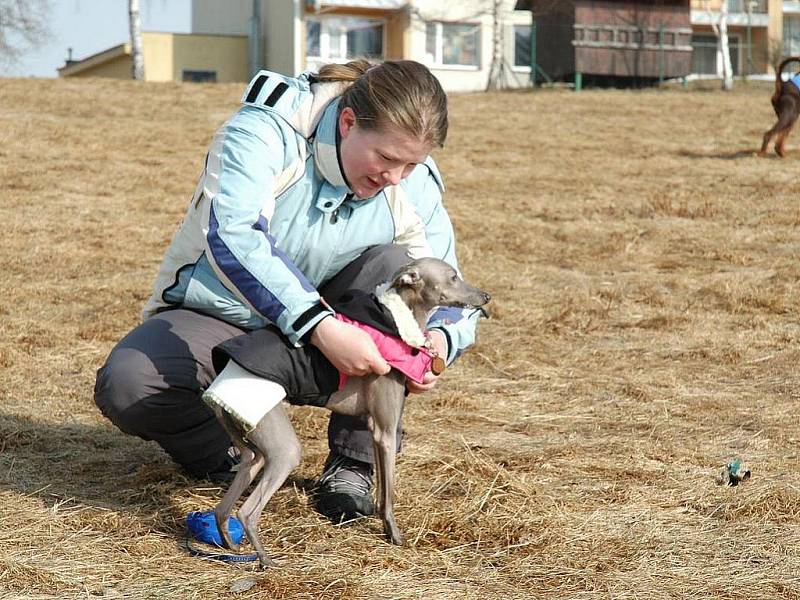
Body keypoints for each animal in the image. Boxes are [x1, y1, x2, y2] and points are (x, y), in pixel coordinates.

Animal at [202, 256, 488, 568]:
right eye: (453, 277)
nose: (486, 296)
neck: (396, 321)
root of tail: (216, 394)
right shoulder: (386, 432)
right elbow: (389, 495)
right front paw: (395, 536)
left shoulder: (375, 432)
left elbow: (381, 492)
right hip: (282, 448)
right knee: (247, 512)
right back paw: (266, 559)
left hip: (254, 453)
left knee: (223, 507)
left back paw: (231, 545)